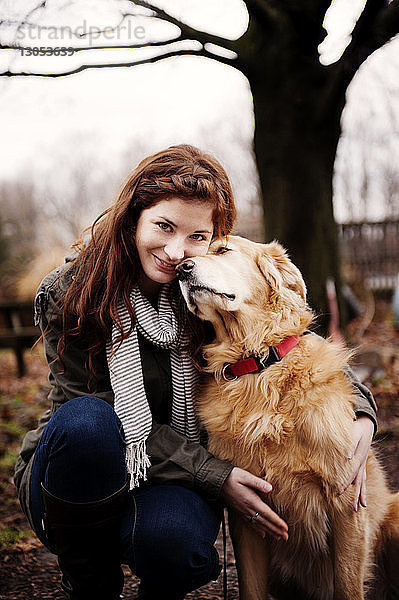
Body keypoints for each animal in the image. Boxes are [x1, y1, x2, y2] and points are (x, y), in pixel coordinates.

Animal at [177, 236, 399, 600]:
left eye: (223, 250)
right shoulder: (247, 511)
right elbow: (251, 588)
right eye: (185, 255)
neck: (258, 367)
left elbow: (348, 585)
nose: (181, 268)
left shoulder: (346, 502)